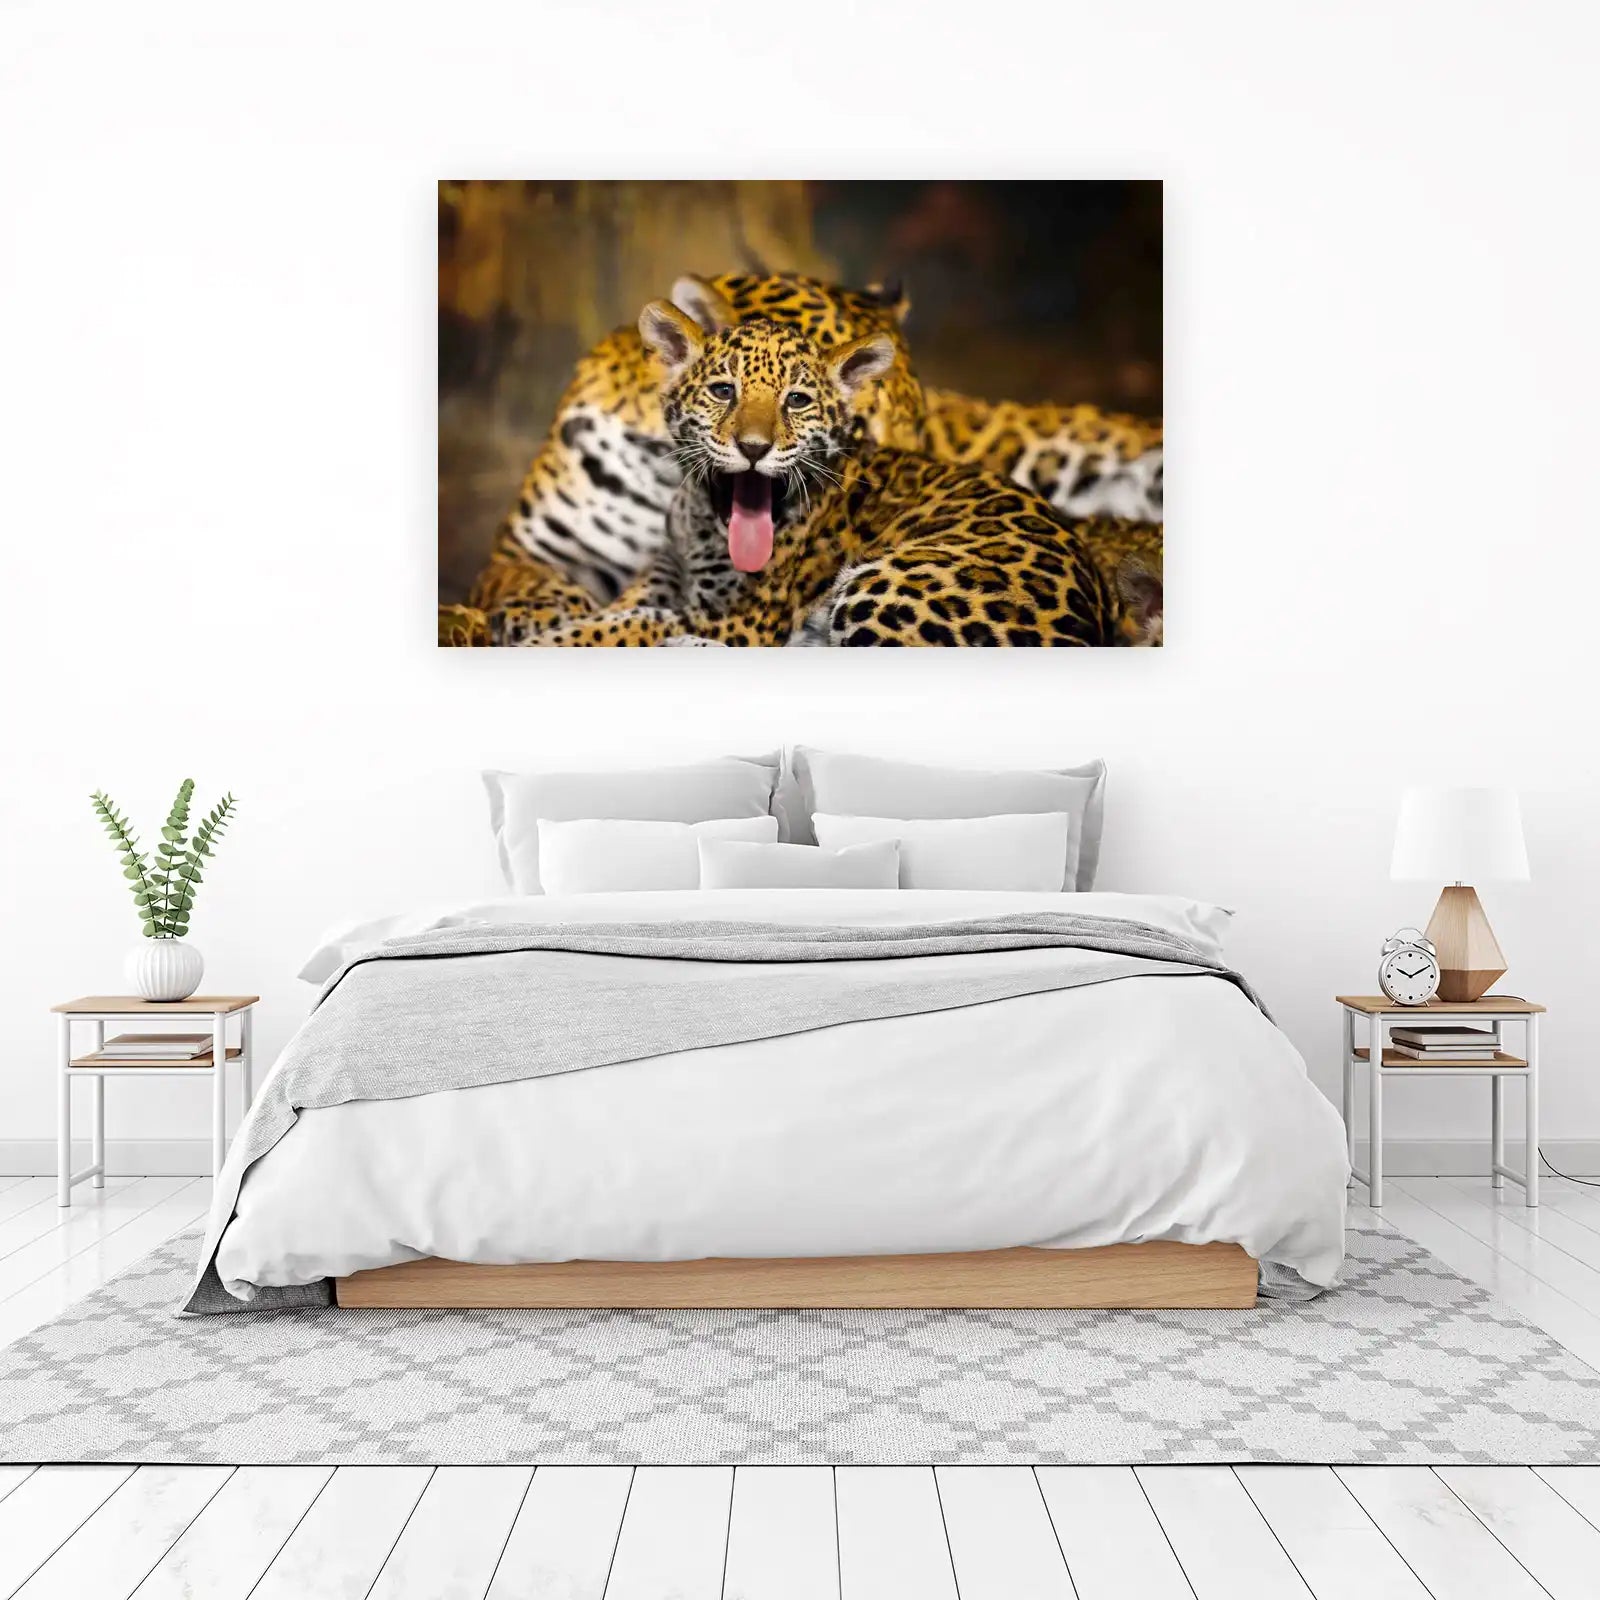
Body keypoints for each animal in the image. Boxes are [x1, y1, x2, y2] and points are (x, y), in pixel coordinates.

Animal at [445, 271, 1162, 646]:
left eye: (919, 429)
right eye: (725, 391)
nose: (891, 494)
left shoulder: (737, 614)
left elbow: (634, 626)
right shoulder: (531, 553)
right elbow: (557, 596)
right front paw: (540, 622)